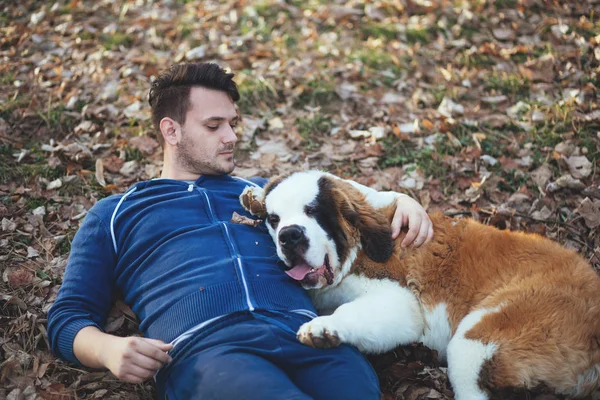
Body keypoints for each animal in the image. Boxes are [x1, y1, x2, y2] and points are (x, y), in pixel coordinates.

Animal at [240, 171, 600, 400]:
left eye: (313, 211)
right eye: (275, 219)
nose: (289, 236)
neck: (358, 245)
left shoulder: (402, 303)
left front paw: (324, 328)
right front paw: (254, 197)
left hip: (478, 339)